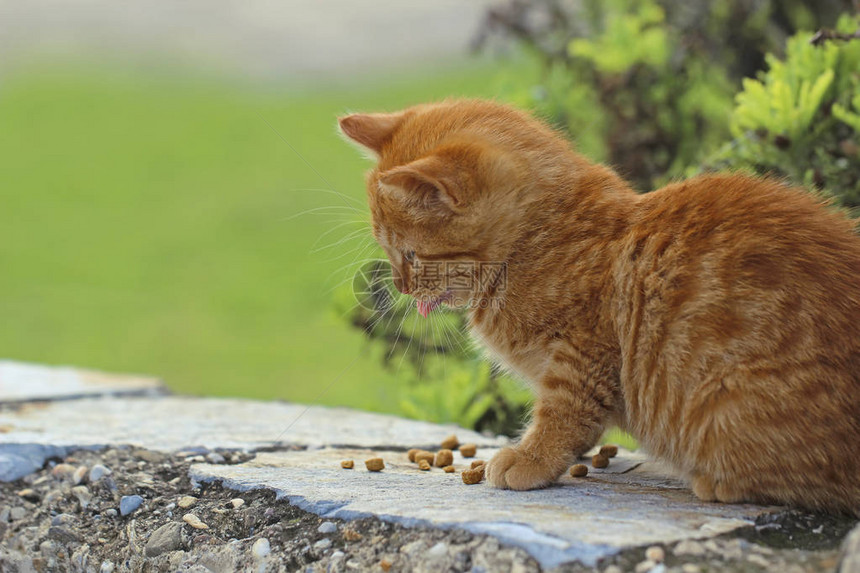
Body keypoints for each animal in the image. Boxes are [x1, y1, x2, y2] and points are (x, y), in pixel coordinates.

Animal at [338, 99, 860, 512]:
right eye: (389, 251)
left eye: (410, 254)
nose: (402, 286)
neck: (538, 242)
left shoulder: (583, 355)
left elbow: (562, 415)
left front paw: (530, 458)